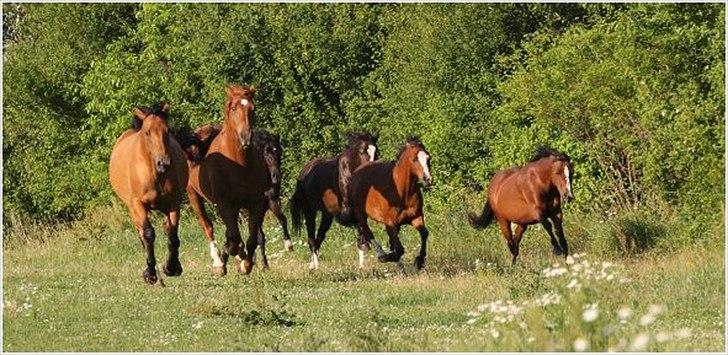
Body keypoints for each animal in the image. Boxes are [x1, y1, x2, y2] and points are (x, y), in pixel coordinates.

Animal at [109, 102, 189, 284]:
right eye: (147, 132)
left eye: (167, 130)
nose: (164, 163)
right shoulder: (138, 204)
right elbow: (147, 234)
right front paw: (150, 273)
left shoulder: (173, 204)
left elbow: (173, 235)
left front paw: (172, 268)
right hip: (132, 208)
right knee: (141, 233)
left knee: (167, 228)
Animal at [185, 85, 270, 276]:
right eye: (233, 108)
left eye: (252, 108)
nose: (245, 136)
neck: (239, 164)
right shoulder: (224, 203)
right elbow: (234, 240)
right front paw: (233, 259)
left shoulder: (256, 203)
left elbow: (250, 239)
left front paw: (245, 264)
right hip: (194, 196)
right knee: (207, 226)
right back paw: (218, 263)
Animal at [290, 133, 382, 270]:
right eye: (362, 152)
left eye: (376, 152)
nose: (371, 171)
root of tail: (304, 172)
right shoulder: (346, 211)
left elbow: (361, 232)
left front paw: (361, 265)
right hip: (309, 211)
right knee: (311, 238)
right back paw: (315, 266)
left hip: (326, 215)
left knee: (319, 237)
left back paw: (312, 263)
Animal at [346, 138, 432, 272]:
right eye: (414, 159)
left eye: (428, 158)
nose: (427, 179)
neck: (401, 192)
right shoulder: (390, 223)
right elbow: (399, 248)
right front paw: (387, 257)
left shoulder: (416, 218)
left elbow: (424, 234)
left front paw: (420, 262)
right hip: (360, 214)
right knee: (368, 233)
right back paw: (382, 255)